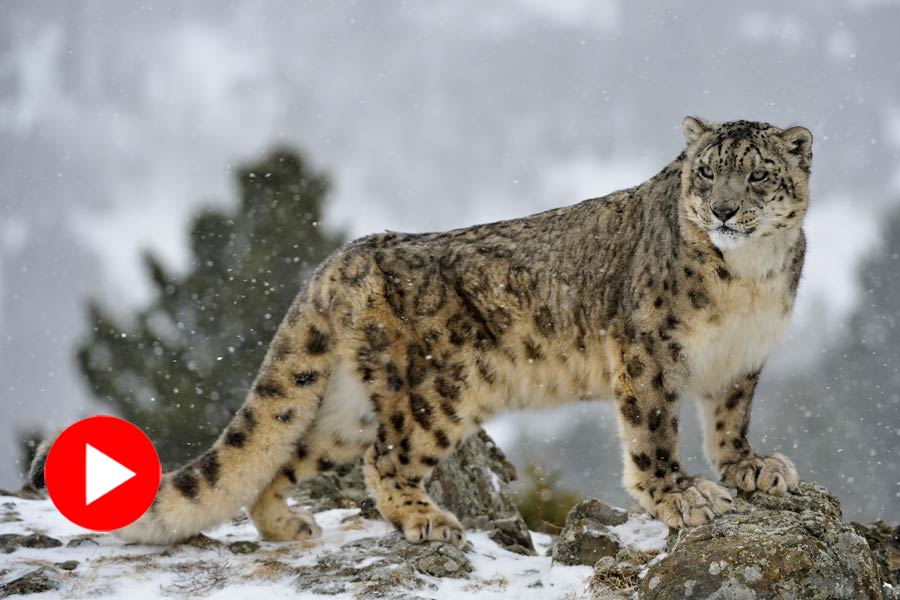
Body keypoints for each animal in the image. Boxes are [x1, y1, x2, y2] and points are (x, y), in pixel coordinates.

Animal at [31, 115, 812, 548]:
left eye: (757, 175)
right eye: (705, 172)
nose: (724, 209)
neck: (751, 278)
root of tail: (345, 256)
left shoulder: (741, 360)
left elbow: (730, 421)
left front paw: (751, 468)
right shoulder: (648, 349)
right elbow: (652, 431)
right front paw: (682, 495)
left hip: (345, 403)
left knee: (291, 454)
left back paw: (289, 526)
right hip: (442, 388)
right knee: (385, 457)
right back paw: (424, 517)